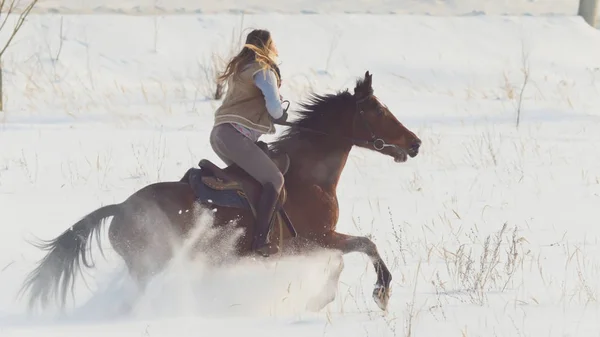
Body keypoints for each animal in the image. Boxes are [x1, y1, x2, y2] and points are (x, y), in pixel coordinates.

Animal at [19, 70, 422, 312]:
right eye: (376, 109)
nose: (415, 143)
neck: (309, 176)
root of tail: (119, 208)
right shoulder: (316, 238)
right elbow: (365, 245)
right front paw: (380, 292)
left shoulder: (313, 243)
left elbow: (346, 257)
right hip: (148, 266)